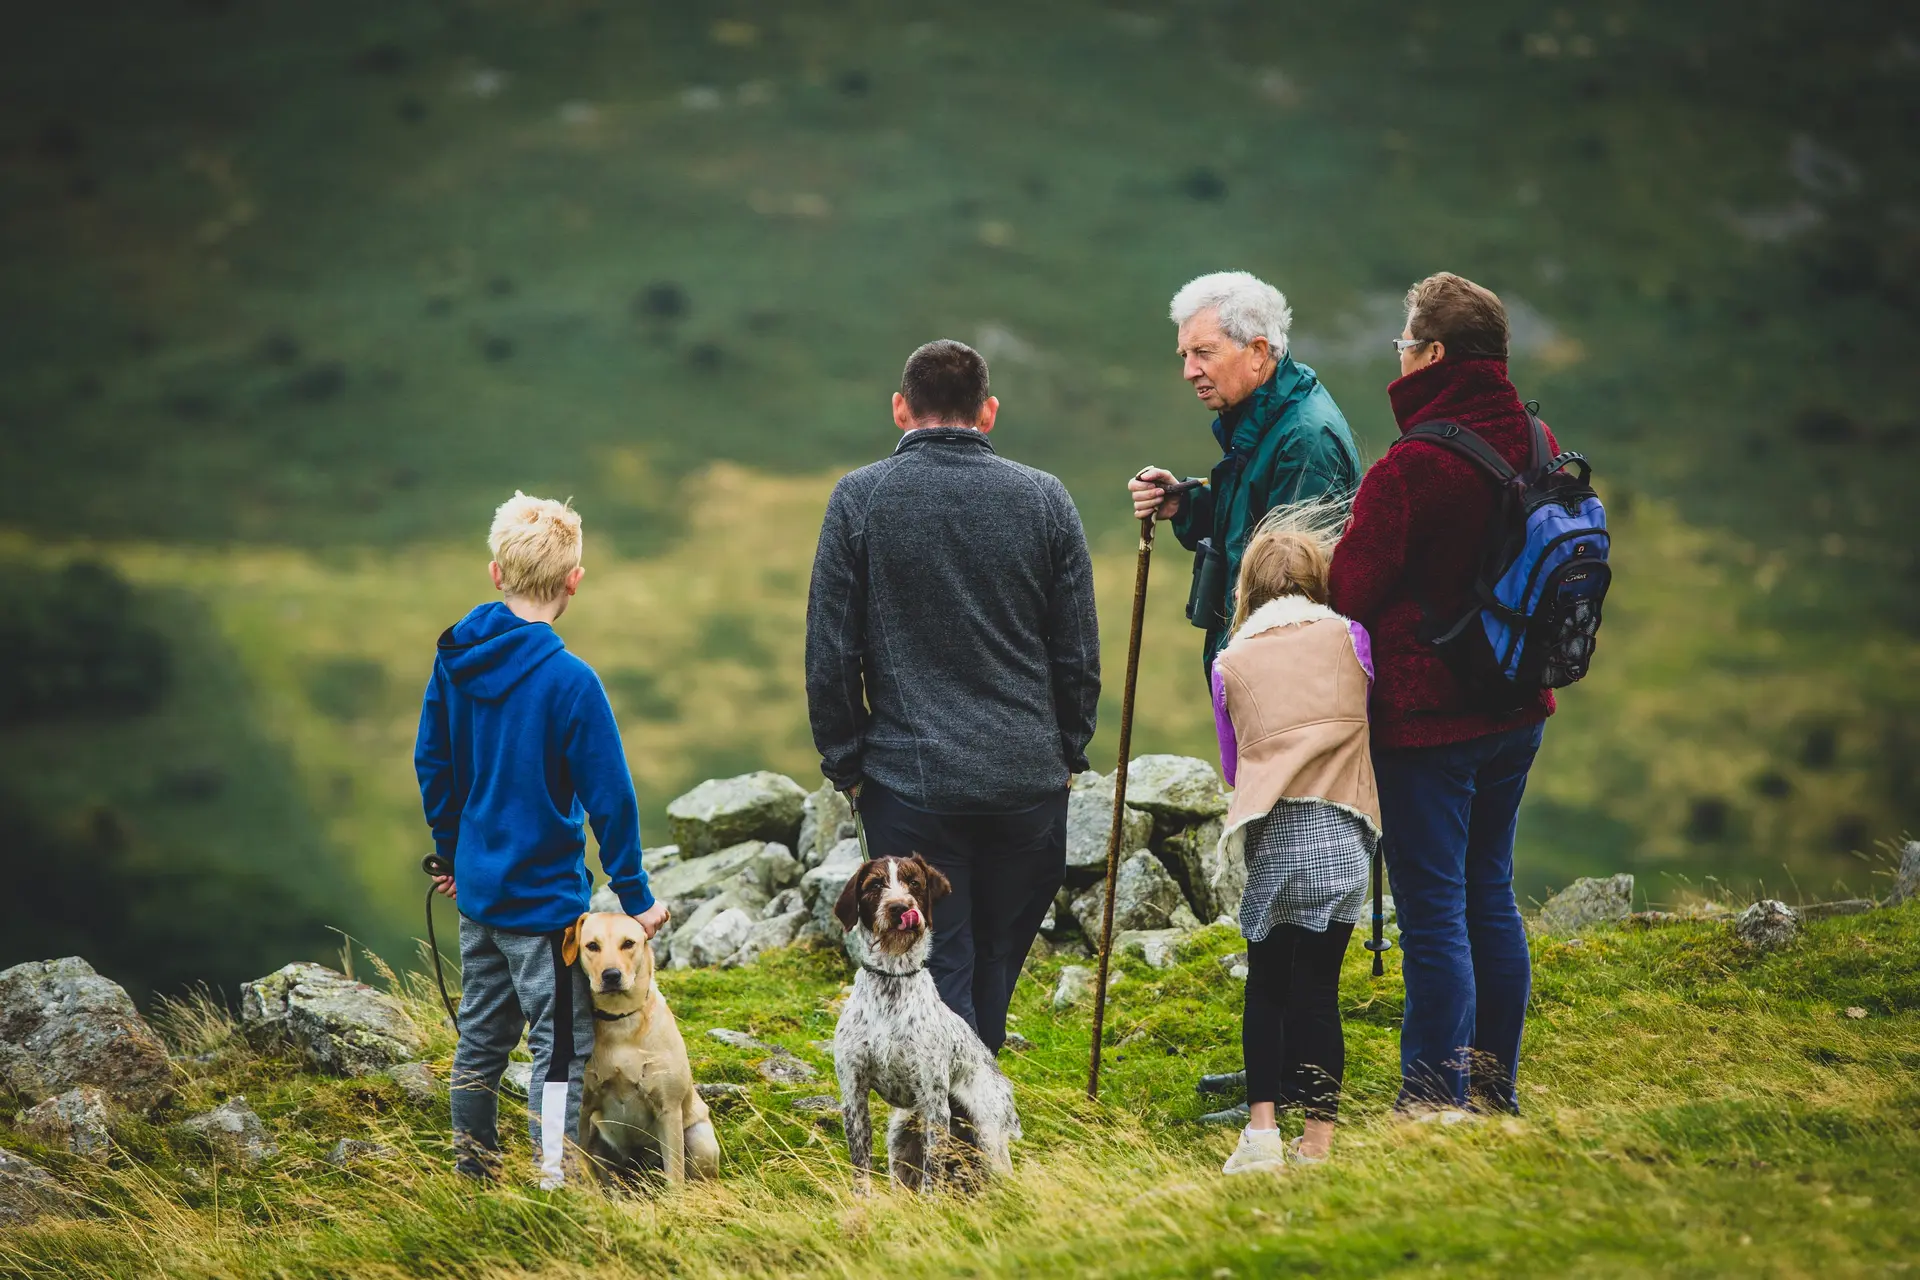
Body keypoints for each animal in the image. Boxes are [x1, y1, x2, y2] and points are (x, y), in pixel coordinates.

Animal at [568, 917, 725, 1189]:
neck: (620, 1021)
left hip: (699, 1139)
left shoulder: (668, 1111)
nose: (611, 975)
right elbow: (582, 1163)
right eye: (592, 946)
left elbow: (675, 1175)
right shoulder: (582, 1111)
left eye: (628, 943)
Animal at [833, 855, 1029, 1197]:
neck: (891, 981)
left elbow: (933, 1170)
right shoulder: (853, 1094)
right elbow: (861, 1166)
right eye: (875, 885)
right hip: (900, 1137)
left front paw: (931, 1202)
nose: (900, 907)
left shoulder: (934, 1100)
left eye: (914, 883)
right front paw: (861, 1204)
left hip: (988, 1132)